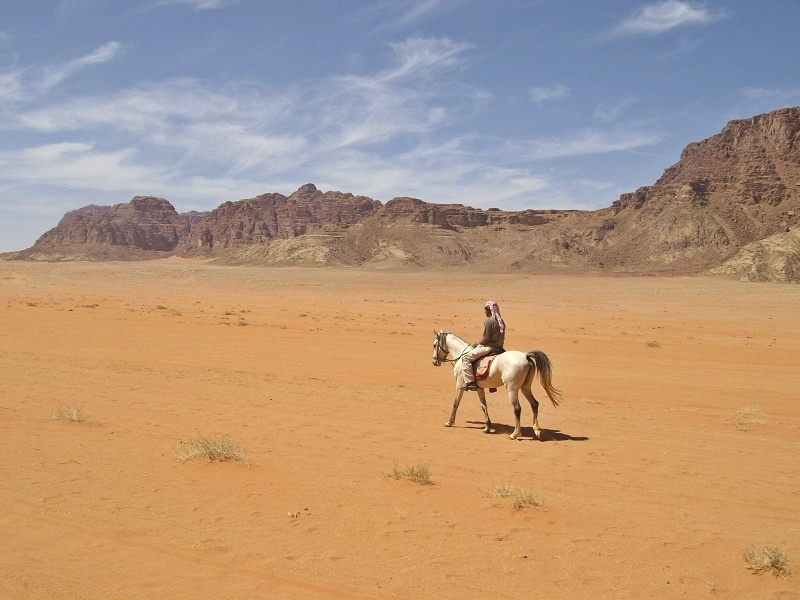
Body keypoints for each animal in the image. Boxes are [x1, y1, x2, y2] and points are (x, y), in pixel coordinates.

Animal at [432, 330, 564, 438]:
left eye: (434, 345)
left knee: (517, 408)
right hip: (525, 387)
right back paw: (537, 430)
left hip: (512, 389)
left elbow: (455, 403)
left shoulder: (459, 385)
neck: (462, 355)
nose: (434, 361)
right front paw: (487, 427)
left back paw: (515, 434)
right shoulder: (479, 388)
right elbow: (484, 406)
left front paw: (450, 422)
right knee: (534, 404)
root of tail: (525, 356)